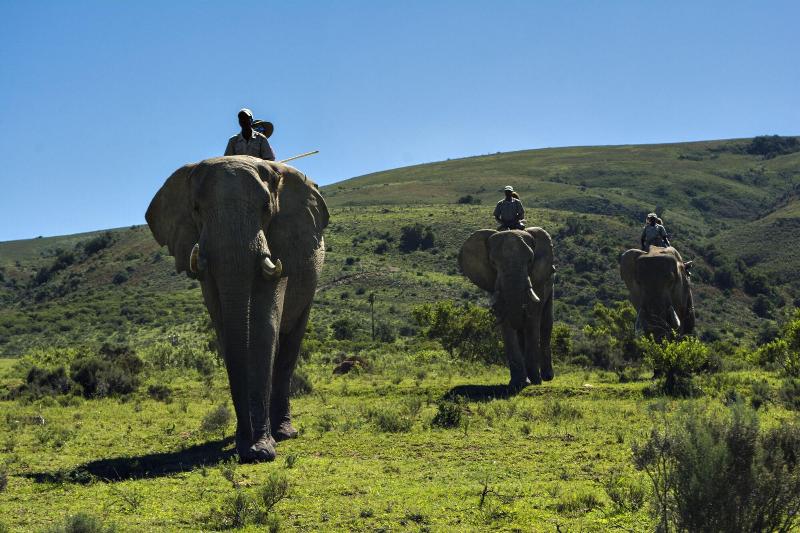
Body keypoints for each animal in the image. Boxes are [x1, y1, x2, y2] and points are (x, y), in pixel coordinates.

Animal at [145, 155, 328, 462]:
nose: (251, 448)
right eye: (196, 209)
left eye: (266, 208)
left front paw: (262, 449)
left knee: (289, 347)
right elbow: (224, 328)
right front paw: (248, 446)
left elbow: (266, 325)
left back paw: (284, 433)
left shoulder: (281, 245)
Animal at [459, 228, 555, 389]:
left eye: (530, 260)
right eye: (493, 262)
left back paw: (547, 377)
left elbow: (533, 320)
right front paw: (518, 383)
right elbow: (507, 325)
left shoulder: (538, 280)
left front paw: (535, 382)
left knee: (546, 323)